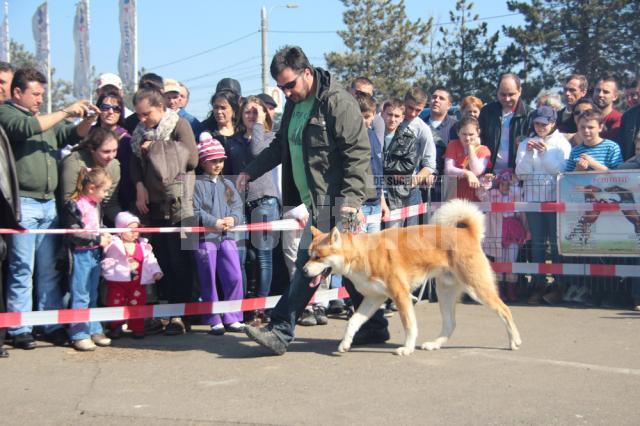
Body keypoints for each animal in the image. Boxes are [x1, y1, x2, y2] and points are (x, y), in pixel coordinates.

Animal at [304, 200, 520, 356]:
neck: (362, 253)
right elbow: (353, 322)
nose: (304, 271)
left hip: (477, 288)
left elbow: (409, 325)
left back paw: (514, 341)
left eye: (318, 257)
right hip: (444, 293)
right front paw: (345, 343)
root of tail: (467, 232)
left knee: (505, 310)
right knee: (450, 324)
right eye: (308, 255)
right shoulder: (374, 298)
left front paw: (407, 348)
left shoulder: (401, 295)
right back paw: (434, 344)